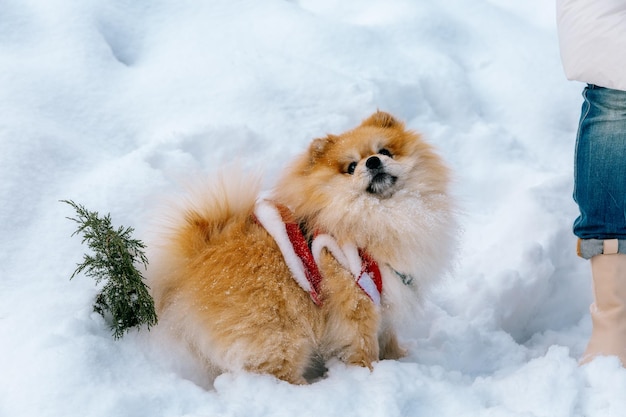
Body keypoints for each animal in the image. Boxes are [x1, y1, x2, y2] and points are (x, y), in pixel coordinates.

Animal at [149, 110, 456, 384]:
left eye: (385, 151)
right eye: (351, 167)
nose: (372, 161)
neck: (381, 213)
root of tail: (195, 256)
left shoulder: (388, 297)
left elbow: (388, 335)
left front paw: (400, 358)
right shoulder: (356, 299)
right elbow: (363, 344)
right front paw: (369, 373)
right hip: (280, 330)